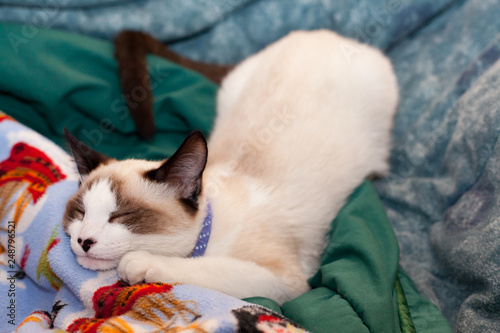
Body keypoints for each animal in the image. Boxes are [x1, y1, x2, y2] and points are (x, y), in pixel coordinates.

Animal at [62, 31, 398, 304]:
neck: (210, 235)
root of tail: (324, 35)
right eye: (80, 213)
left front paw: (140, 264)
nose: (83, 241)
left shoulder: (287, 281)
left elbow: (211, 270)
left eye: (121, 216)